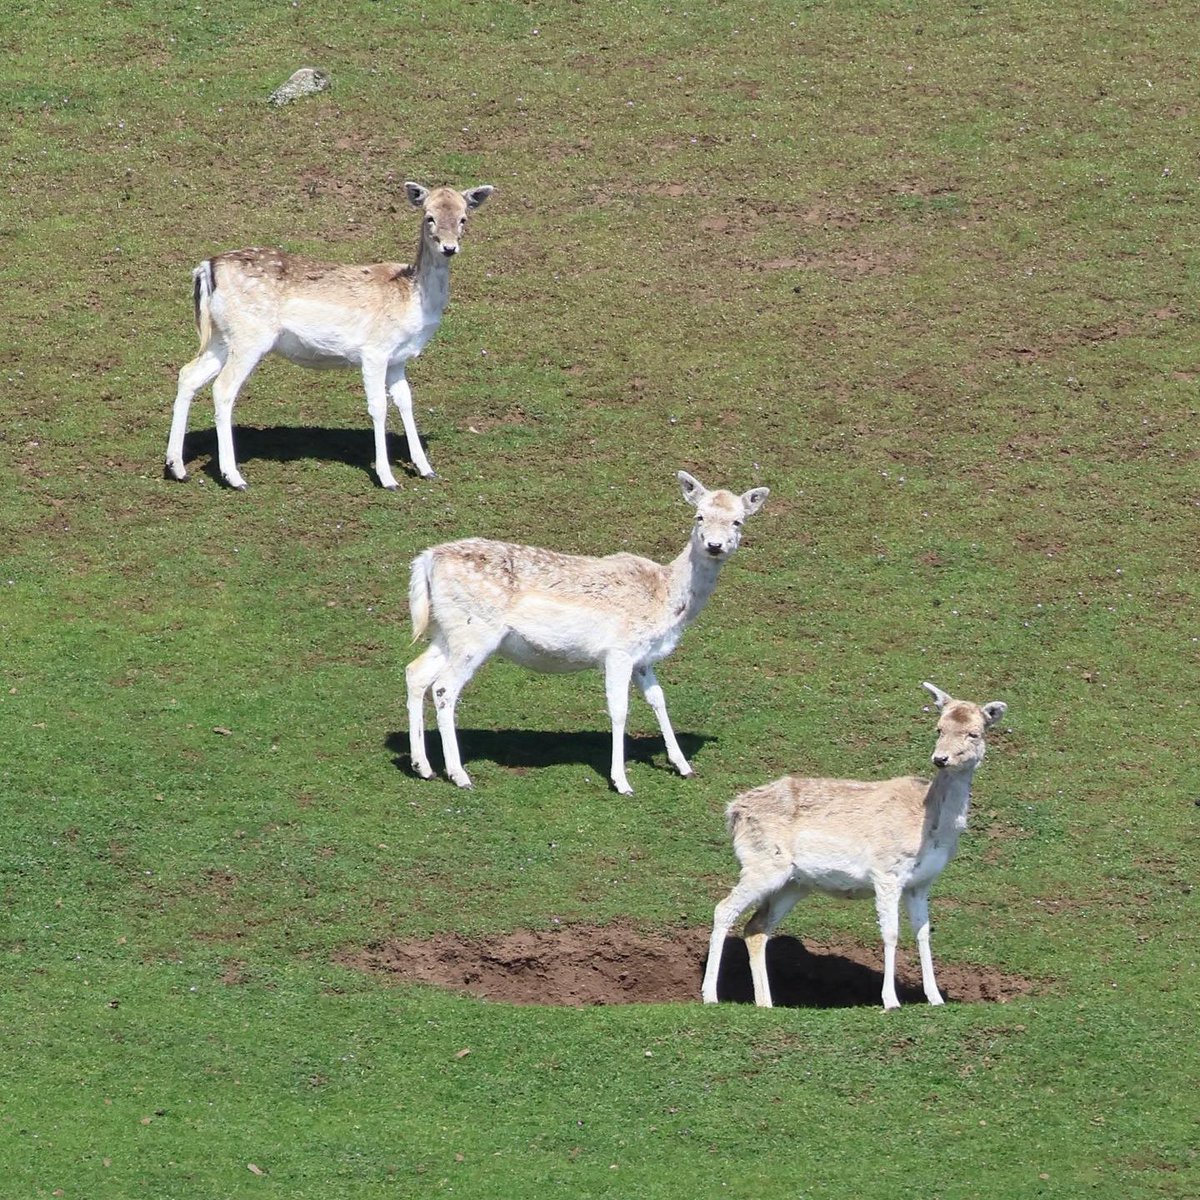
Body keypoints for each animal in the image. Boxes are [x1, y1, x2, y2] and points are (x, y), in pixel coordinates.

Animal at [164, 180, 492, 489]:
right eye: (429, 216)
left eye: (463, 217)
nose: (449, 247)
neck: (412, 300)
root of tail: (206, 268)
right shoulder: (375, 350)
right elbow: (378, 406)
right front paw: (387, 478)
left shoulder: (398, 358)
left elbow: (405, 401)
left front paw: (426, 468)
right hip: (250, 336)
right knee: (223, 388)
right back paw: (234, 477)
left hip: (221, 336)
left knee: (188, 374)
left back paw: (176, 467)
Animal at [408, 470, 772, 796]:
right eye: (699, 516)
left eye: (738, 521)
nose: (714, 545)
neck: (667, 599)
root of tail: (426, 559)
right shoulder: (619, 651)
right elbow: (619, 709)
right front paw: (622, 782)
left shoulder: (644, 657)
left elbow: (659, 699)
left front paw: (683, 766)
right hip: (475, 632)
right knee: (443, 687)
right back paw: (459, 775)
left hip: (445, 631)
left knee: (416, 672)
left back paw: (422, 766)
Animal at [700, 681, 1008, 1008]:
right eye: (939, 728)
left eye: (974, 733)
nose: (940, 759)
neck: (929, 827)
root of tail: (733, 811)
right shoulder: (887, 872)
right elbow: (890, 933)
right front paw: (890, 1001)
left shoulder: (921, 882)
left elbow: (923, 933)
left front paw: (936, 998)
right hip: (763, 863)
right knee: (723, 909)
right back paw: (710, 995)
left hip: (794, 883)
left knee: (756, 928)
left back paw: (766, 1004)